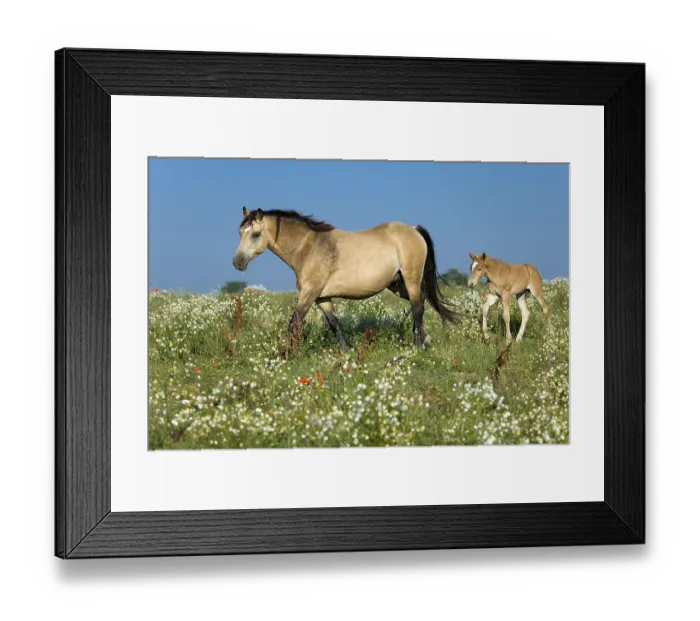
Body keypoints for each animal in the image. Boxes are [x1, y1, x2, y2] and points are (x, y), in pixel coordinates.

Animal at [233, 207, 459, 352]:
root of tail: (414, 229)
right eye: (240, 233)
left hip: (411, 280)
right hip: (398, 285)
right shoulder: (321, 297)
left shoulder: (308, 294)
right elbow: (334, 323)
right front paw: (346, 350)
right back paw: (425, 339)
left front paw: (285, 355)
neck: (309, 248)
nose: (237, 262)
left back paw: (416, 345)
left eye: (256, 234)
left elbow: (294, 323)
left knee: (417, 307)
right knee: (422, 301)